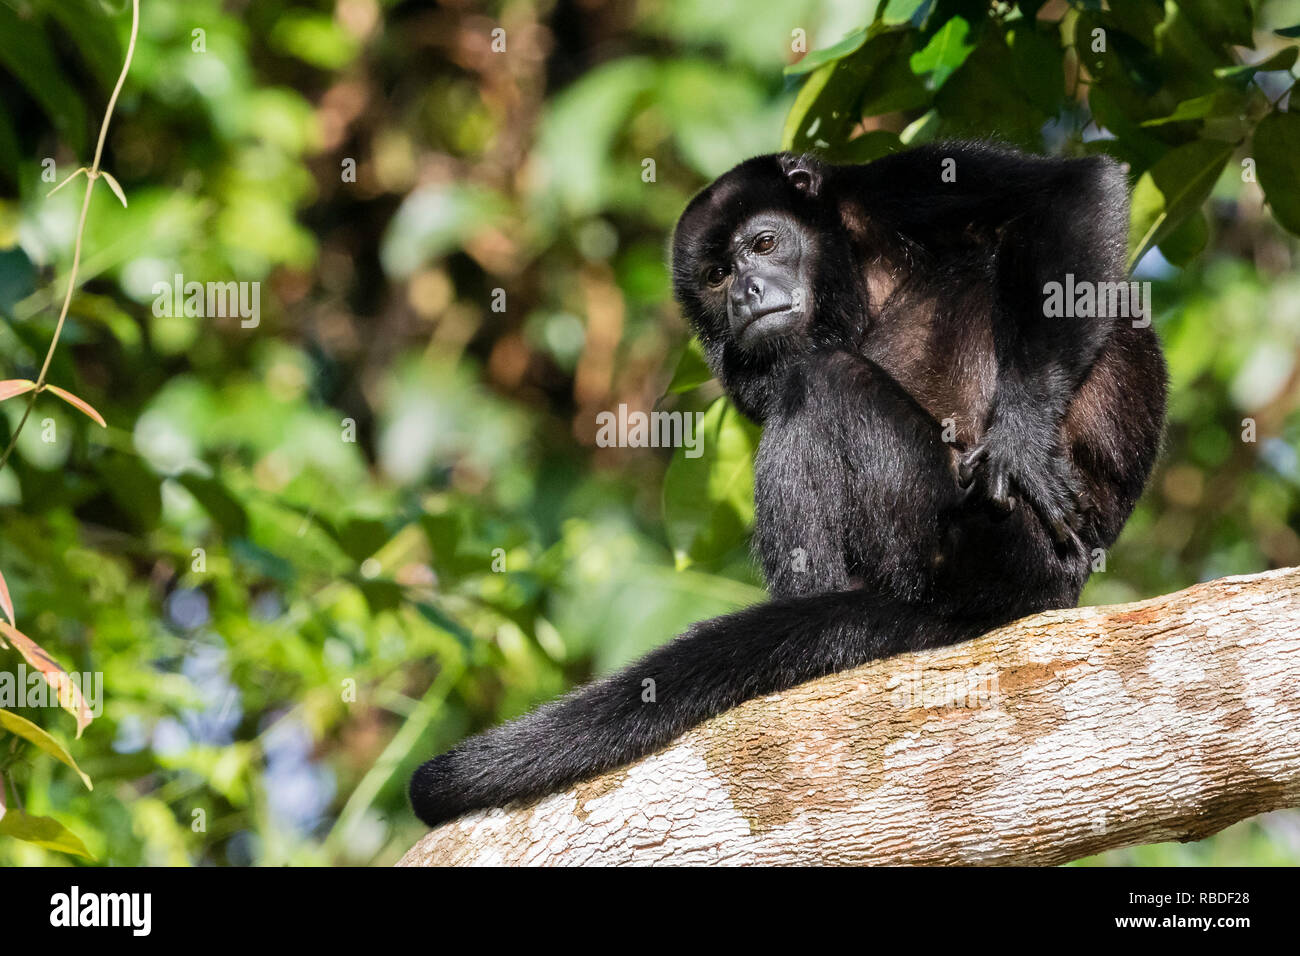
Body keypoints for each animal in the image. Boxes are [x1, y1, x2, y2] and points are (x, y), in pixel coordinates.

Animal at [408, 141, 1170, 832]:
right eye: (717, 274)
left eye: (765, 243)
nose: (747, 292)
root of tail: (1065, 578)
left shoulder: (895, 181)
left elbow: (1070, 188)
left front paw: (1024, 436)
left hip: (981, 533)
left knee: (829, 376)